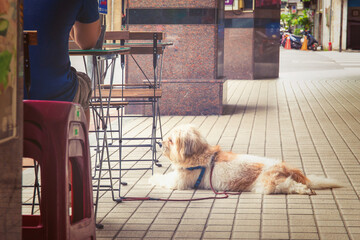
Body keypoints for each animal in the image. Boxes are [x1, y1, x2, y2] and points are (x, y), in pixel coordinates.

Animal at [149, 124, 340, 194]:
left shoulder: (179, 181)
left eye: (171, 140)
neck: (199, 154)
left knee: (290, 185)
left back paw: (304, 190)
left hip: (269, 184)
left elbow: (163, 179)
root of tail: (282, 166)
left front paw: (153, 177)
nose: (159, 143)